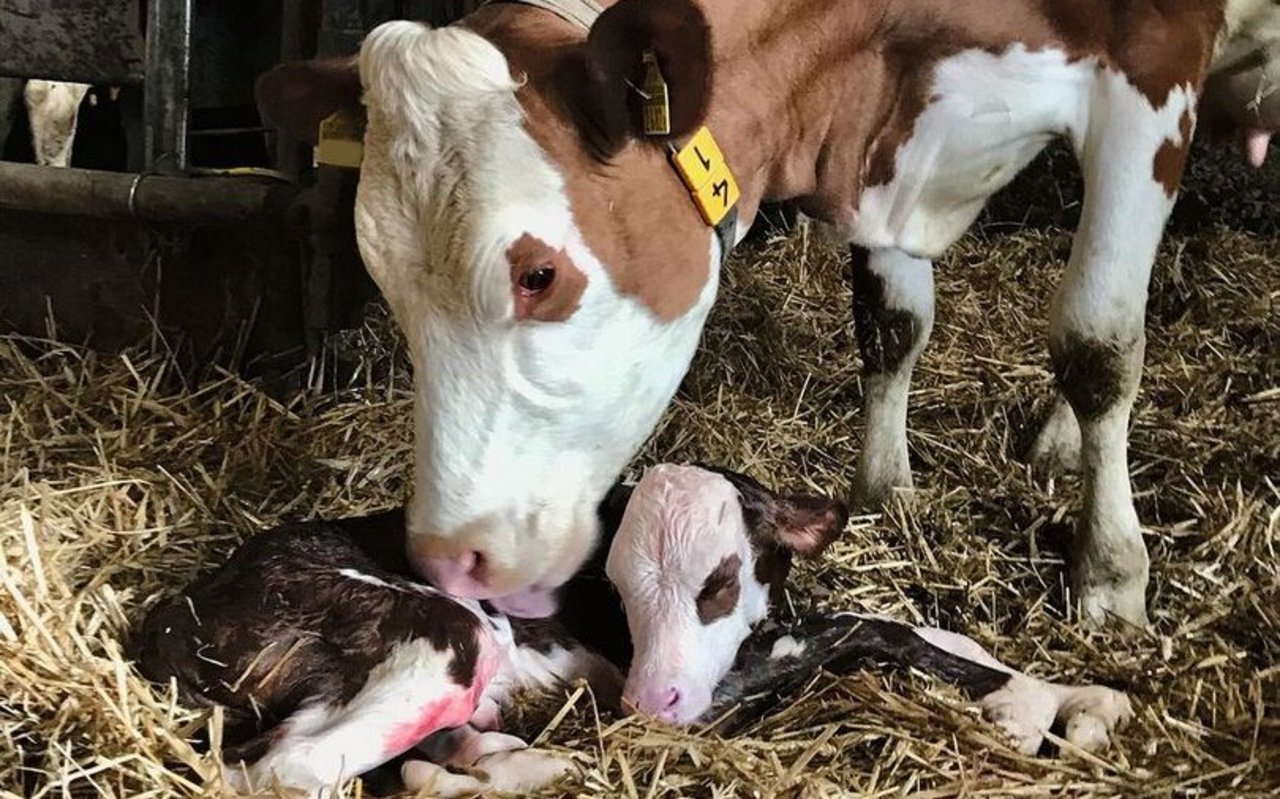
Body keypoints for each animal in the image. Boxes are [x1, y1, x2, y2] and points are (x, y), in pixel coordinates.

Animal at [254, 0, 1244, 630]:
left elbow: (1097, 341)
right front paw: (885, 490)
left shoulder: (1154, 67)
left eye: (537, 274)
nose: (447, 561)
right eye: (384, 280)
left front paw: (1110, 574)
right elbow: (890, 323)